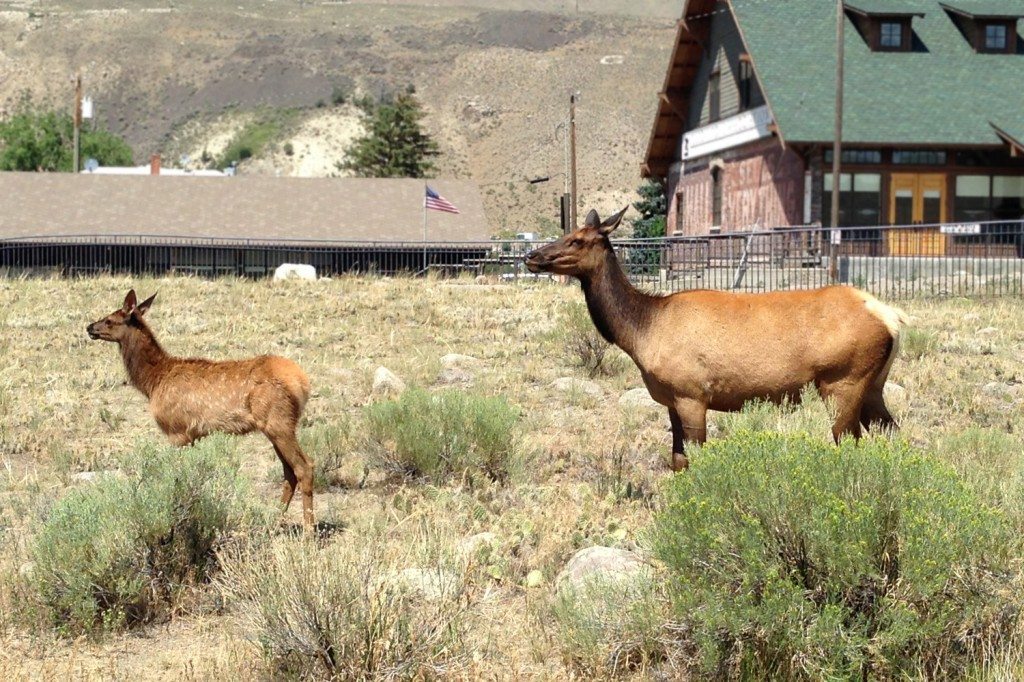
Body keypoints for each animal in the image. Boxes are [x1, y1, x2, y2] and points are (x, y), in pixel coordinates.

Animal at [88, 288, 315, 522]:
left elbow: (179, 475)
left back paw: (308, 529)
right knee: (289, 472)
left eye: (109, 320)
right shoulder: (192, 434)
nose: (90, 327)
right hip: (273, 426)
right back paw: (275, 521)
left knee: (304, 467)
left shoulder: (177, 430)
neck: (153, 382)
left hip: (278, 421)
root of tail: (302, 382)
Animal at [524, 206, 909, 471]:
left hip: (843, 381)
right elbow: (677, 460)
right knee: (894, 434)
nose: (531, 256)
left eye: (577, 239)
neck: (642, 331)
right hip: (873, 385)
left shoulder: (691, 394)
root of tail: (891, 318)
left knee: (851, 442)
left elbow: (694, 458)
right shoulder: (671, 400)